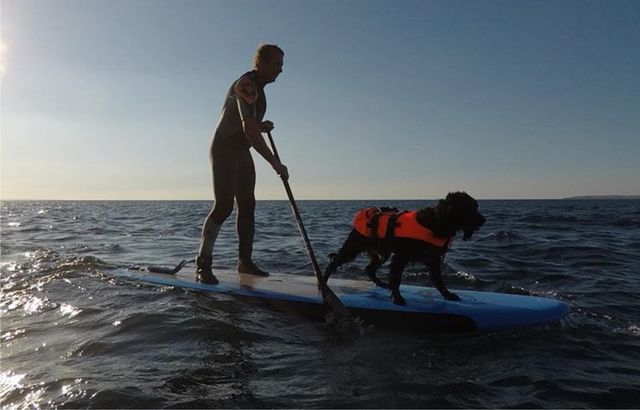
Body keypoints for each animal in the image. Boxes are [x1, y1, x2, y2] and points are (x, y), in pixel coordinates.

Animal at [324, 192, 484, 304]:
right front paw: (397, 298)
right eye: (469, 208)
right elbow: (396, 278)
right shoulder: (401, 256)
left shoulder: (433, 259)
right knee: (334, 263)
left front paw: (448, 295)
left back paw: (381, 284)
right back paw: (323, 283)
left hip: (382, 253)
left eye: (476, 206)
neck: (435, 223)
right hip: (354, 247)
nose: (484, 220)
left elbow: (439, 280)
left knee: (369, 269)